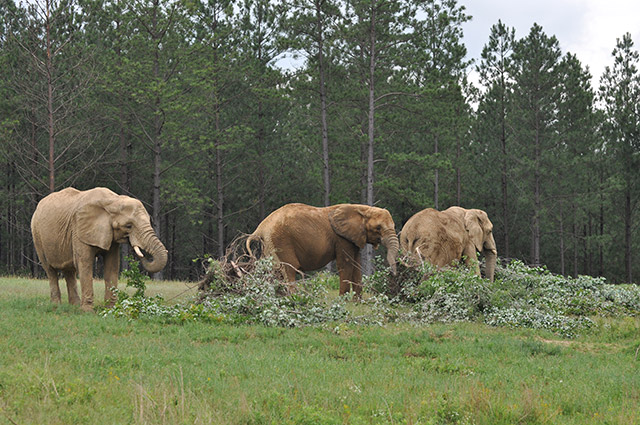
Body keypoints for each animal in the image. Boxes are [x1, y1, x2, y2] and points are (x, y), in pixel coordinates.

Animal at [30, 187, 168, 310]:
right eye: (129, 226)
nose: (143, 255)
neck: (113, 200)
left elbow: (112, 265)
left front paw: (110, 309)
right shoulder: (79, 229)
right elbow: (84, 263)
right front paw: (87, 311)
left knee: (69, 271)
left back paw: (74, 306)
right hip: (37, 234)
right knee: (50, 270)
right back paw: (56, 306)